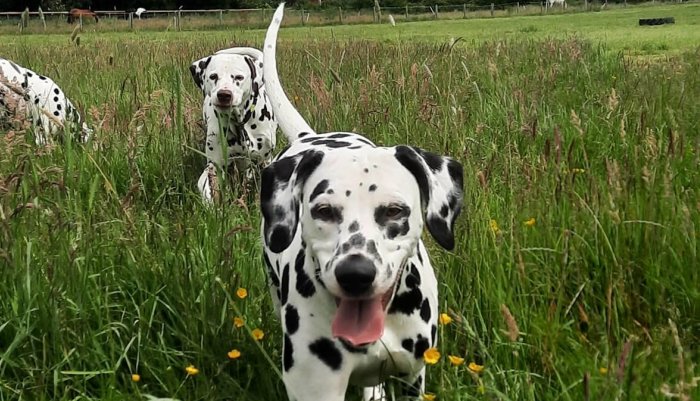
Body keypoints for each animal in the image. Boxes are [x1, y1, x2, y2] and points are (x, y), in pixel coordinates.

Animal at [260, 3, 462, 400]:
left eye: (395, 211)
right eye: (323, 210)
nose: (355, 274)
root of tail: (308, 136)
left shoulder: (413, 377)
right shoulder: (317, 388)